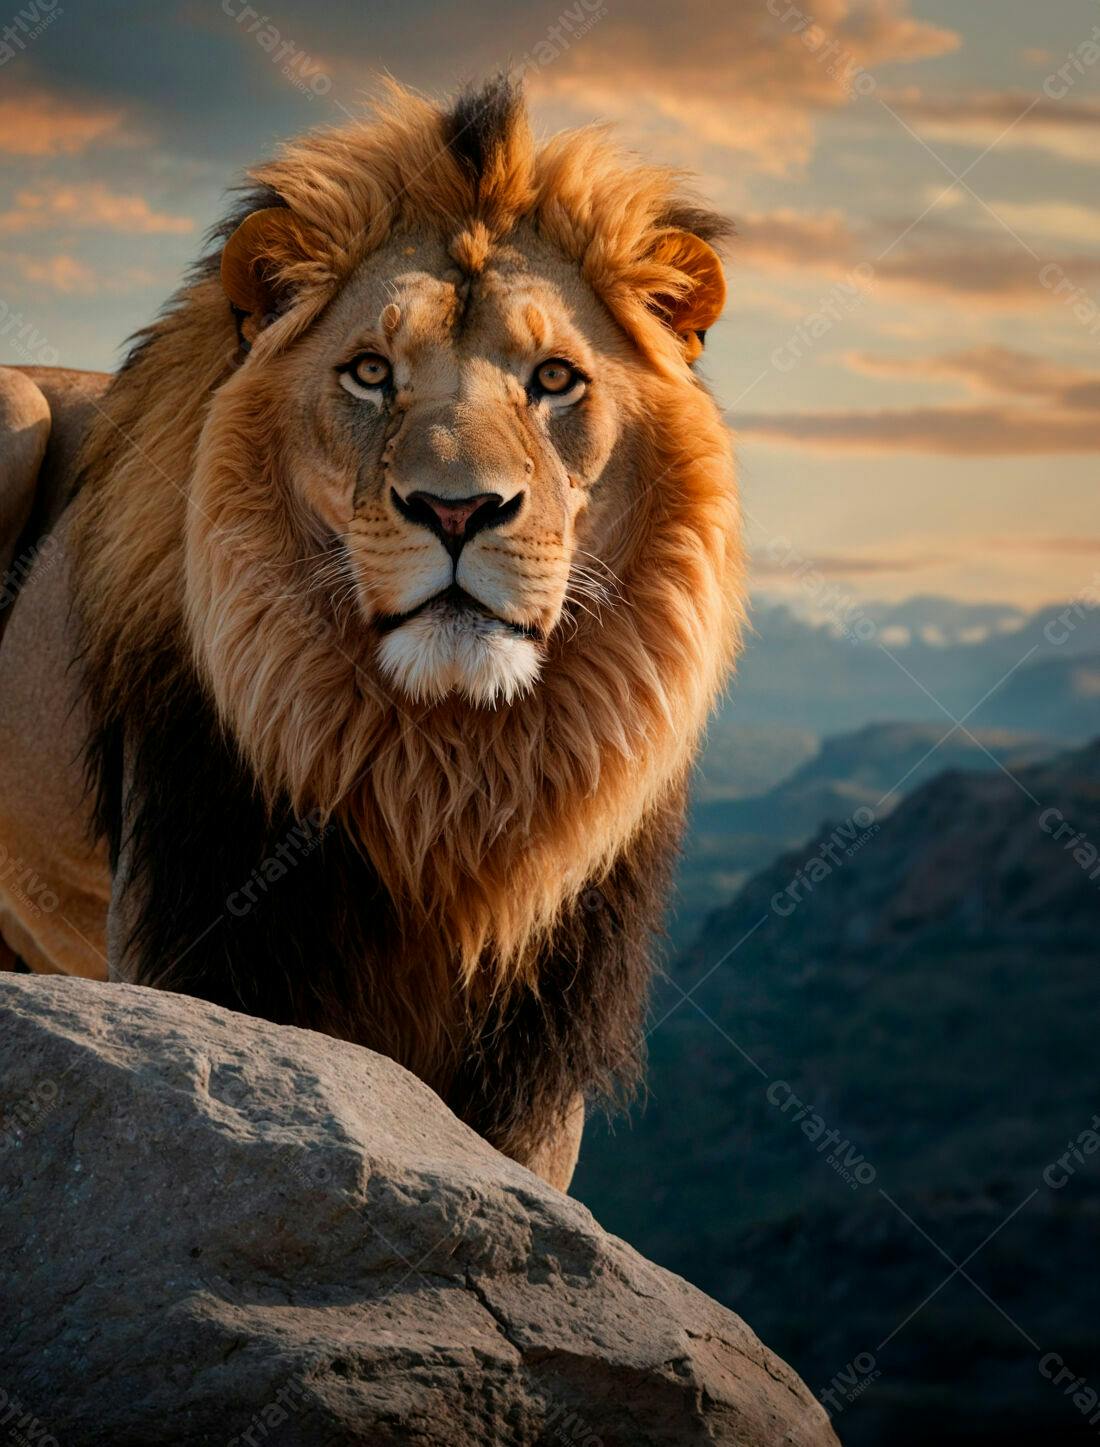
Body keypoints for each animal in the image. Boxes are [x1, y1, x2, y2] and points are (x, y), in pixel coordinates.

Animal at [0, 78, 744, 1190]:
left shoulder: (538, 1052)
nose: (456, 508)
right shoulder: (197, 943)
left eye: (554, 379)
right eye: (368, 372)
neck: (443, 767)